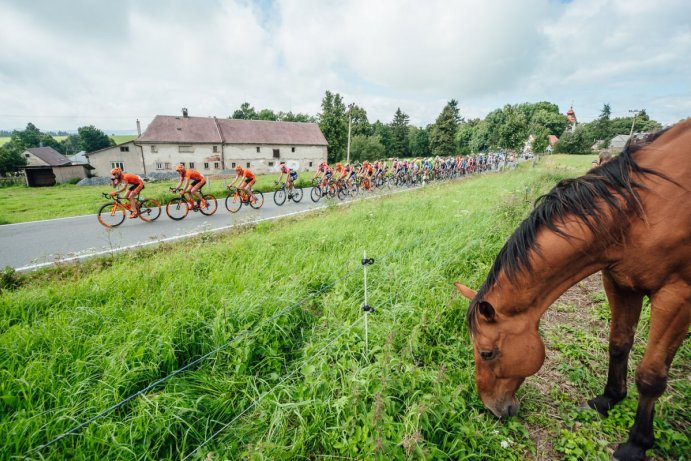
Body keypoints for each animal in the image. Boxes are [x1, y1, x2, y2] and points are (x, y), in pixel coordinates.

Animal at [456, 119, 688, 460]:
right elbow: (618, 344)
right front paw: (608, 399)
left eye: (486, 353)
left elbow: (651, 375)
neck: (637, 212)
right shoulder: (619, 282)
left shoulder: (677, 296)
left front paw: (637, 443)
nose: (490, 407)